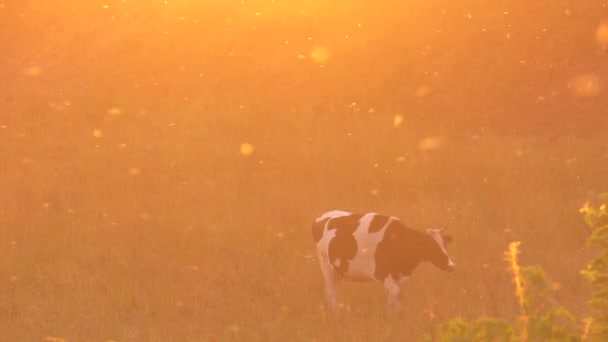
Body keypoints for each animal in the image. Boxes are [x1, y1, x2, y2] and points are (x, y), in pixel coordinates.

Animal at [312, 208, 454, 312]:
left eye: (444, 244)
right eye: (431, 246)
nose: (451, 265)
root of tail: (321, 218)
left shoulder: (397, 276)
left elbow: (395, 297)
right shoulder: (381, 272)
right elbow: (396, 293)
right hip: (326, 266)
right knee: (330, 293)